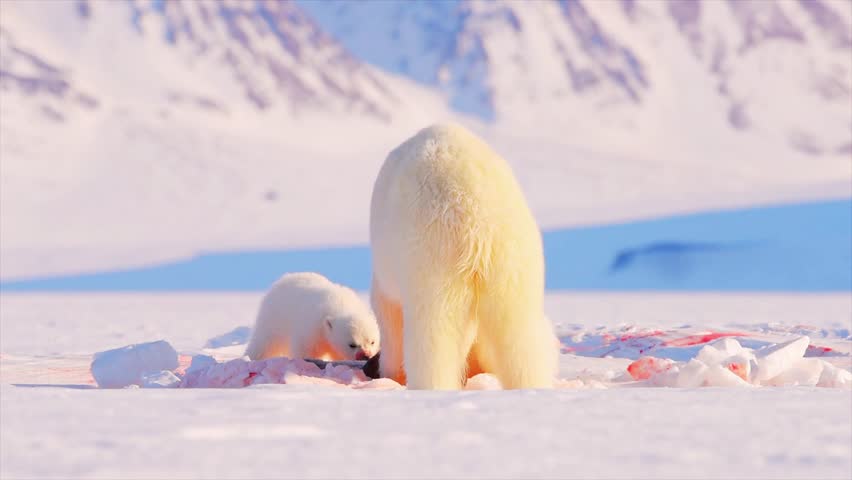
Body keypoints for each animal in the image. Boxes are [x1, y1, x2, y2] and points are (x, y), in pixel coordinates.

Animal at [244, 272, 380, 362]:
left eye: (372, 341)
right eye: (352, 344)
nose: (366, 355)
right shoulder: (313, 329)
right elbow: (306, 351)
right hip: (274, 317)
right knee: (264, 343)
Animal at [368, 122, 559, 390]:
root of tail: (475, 219)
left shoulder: (388, 274)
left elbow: (388, 315)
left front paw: (389, 371)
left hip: (432, 258)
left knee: (433, 337)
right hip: (513, 258)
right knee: (520, 334)